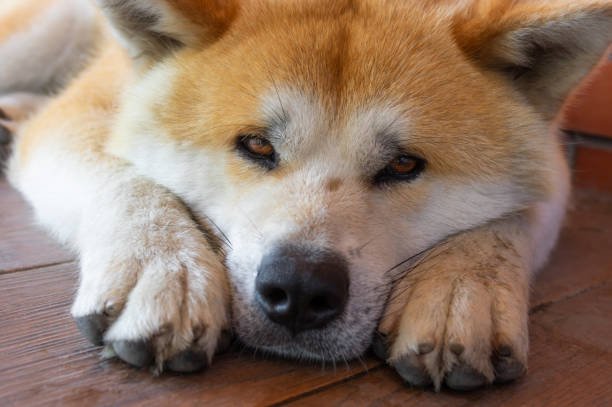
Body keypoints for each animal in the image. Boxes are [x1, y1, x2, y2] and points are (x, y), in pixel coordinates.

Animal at [1, 0, 612, 394]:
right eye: (256, 144)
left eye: (404, 164)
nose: (298, 289)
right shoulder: (81, 114)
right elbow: (127, 176)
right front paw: (164, 266)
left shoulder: (552, 157)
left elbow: (515, 216)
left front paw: (463, 288)